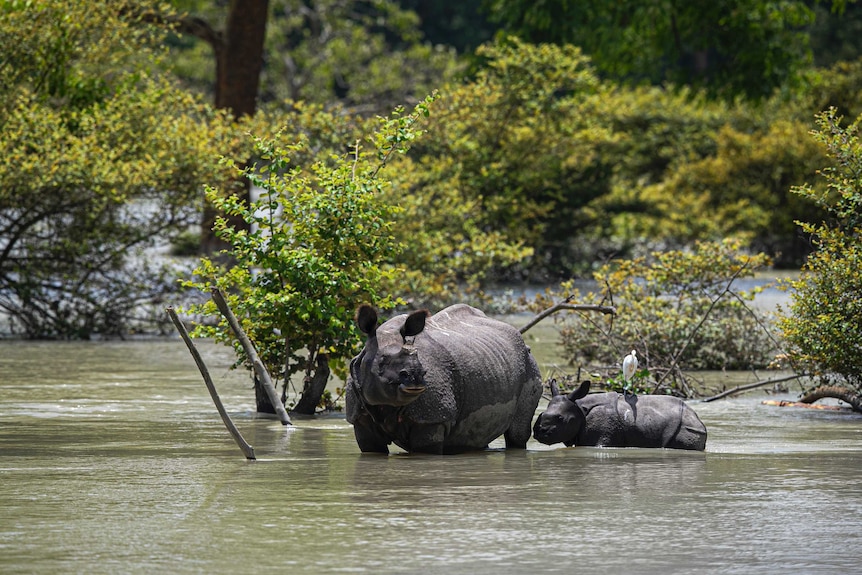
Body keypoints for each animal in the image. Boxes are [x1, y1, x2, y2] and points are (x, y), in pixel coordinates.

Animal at [348, 304, 544, 456]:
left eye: (418, 358)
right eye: (382, 361)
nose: (416, 376)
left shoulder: (433, 418)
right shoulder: (360, 418)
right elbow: (371, 448)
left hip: (529, 363)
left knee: (517, 433)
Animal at [532, 380, 708, 452]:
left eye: (560, 419)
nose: (538, 432)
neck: (580, 408)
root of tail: (697, 419)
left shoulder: (602, 436)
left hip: (685, 428)